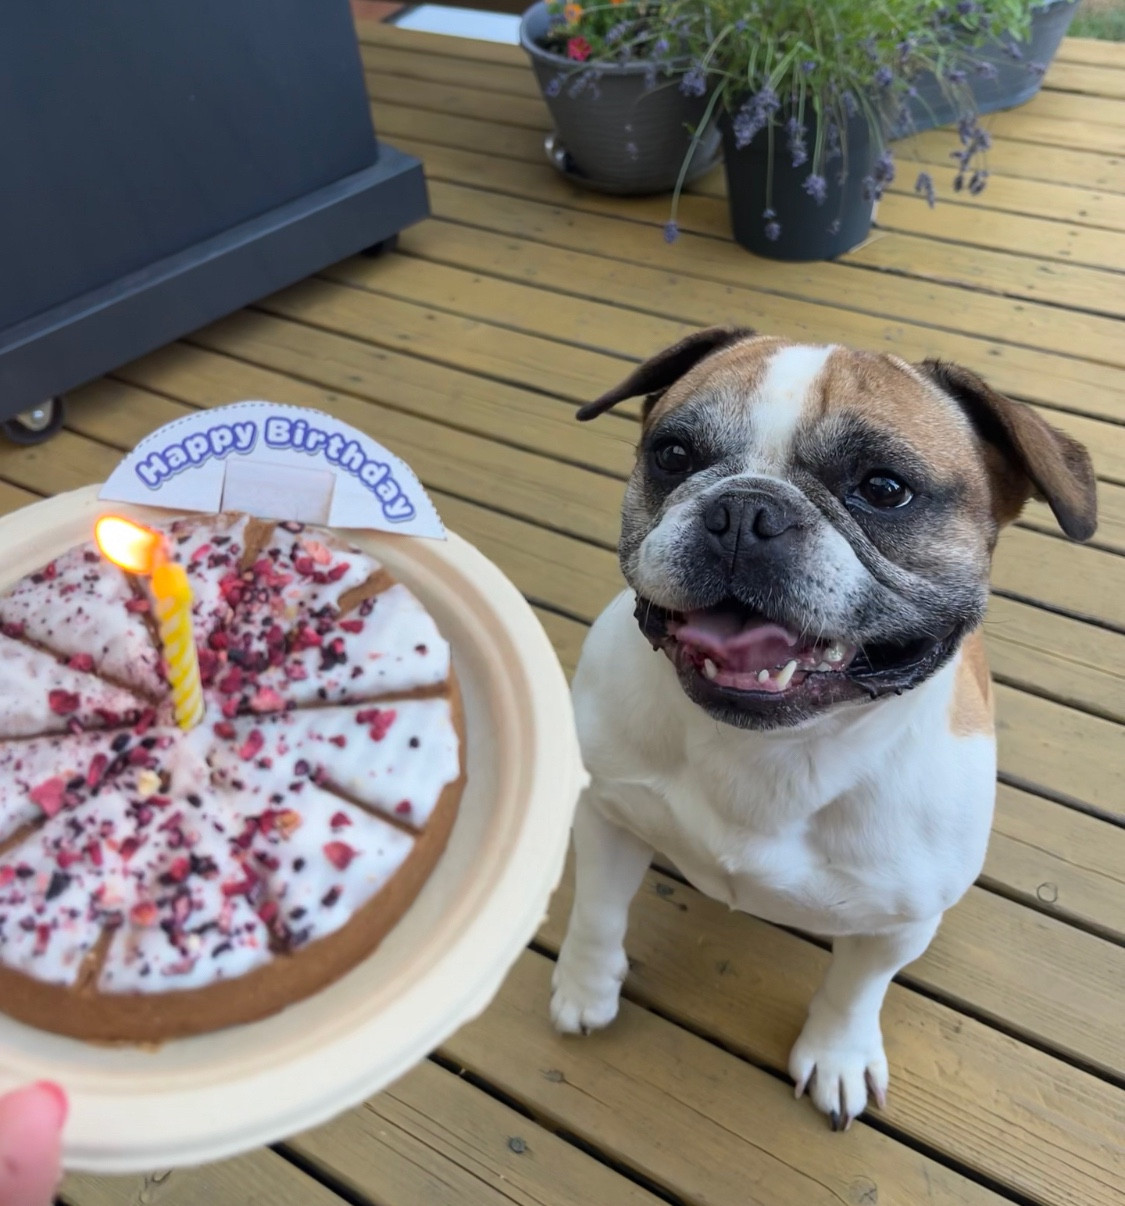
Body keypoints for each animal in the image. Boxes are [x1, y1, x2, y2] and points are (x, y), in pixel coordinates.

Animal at [552, 328, 1099, 1128]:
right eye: (672, 455)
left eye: (883, 489)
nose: (744, 511)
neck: (769, 749)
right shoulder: (607, 814)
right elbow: (598, 911)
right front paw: (584, 986)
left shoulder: (896, 923)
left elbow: (853, 991)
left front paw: (837, 1056)